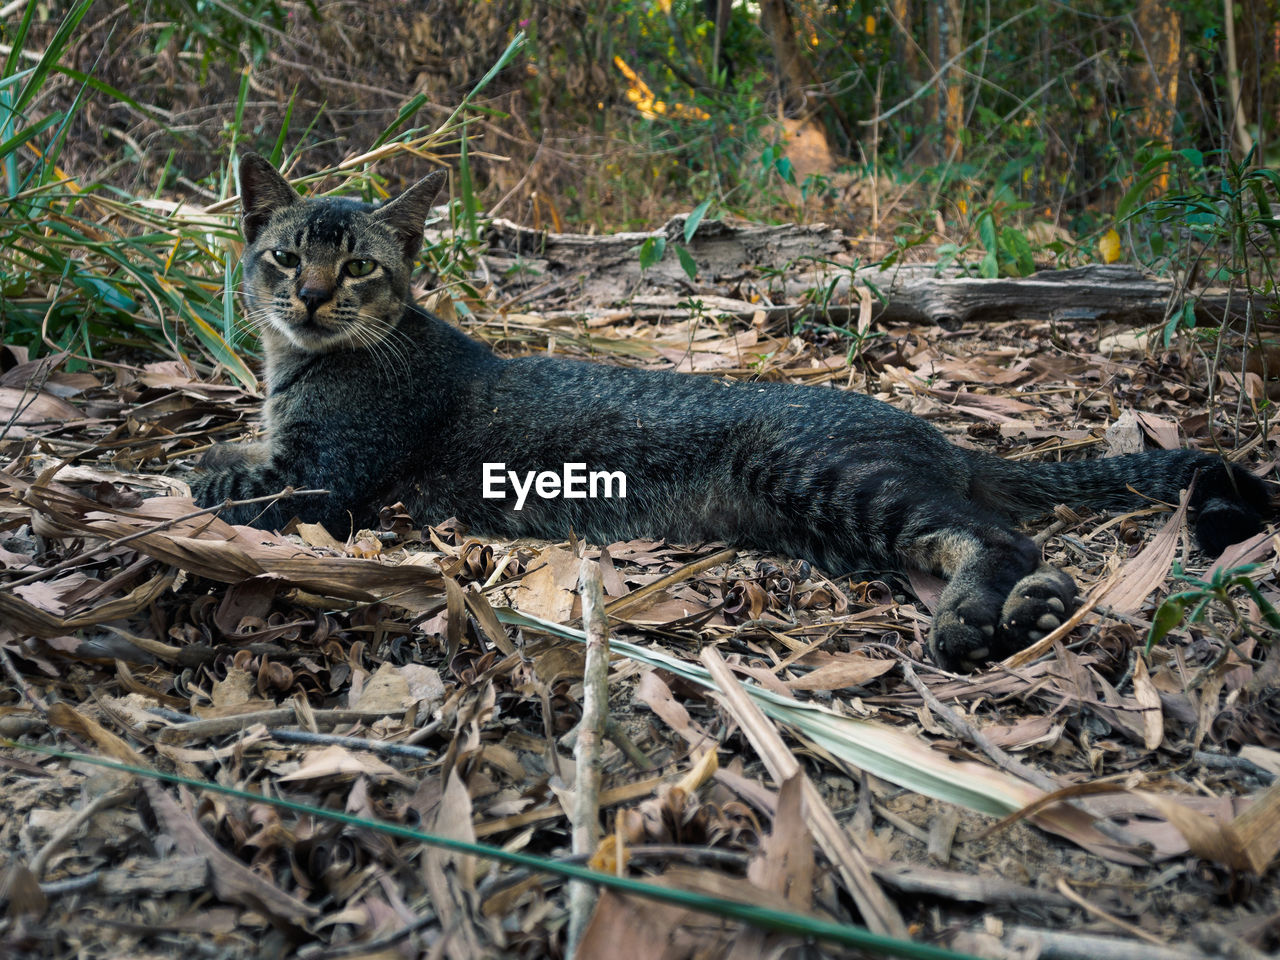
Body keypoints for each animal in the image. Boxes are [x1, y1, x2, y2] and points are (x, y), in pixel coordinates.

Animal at [194, 154, 1274, 670]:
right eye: (284, 256)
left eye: (358, 267)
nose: (311, 297)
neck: (298, 362)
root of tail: (930, 429)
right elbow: (228, 447)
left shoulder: (322, 478)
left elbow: (211, 471)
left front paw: (197, 469)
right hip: (839, 529)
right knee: (981, 538)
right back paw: (1028, 610)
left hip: (833, 479)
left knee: (993, 530)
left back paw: (985, 614)